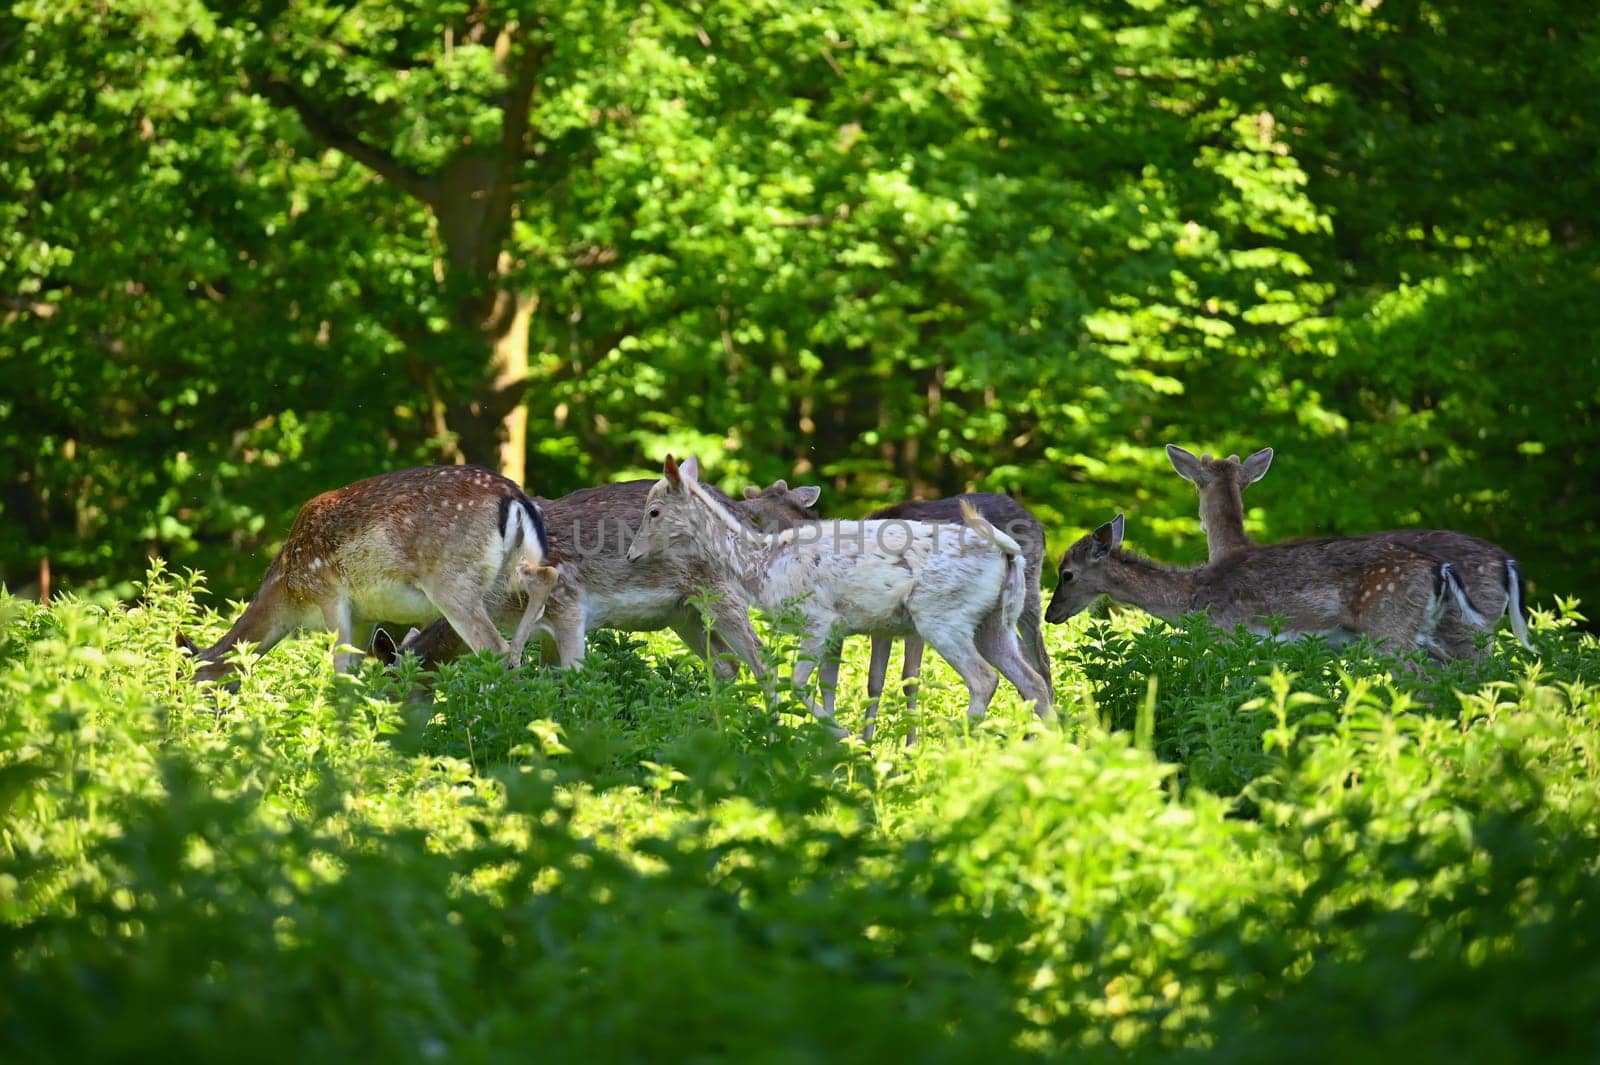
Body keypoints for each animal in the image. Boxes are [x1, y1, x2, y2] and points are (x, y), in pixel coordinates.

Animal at [176, 463, 556, 681]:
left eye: (186, 681)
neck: (289, 590)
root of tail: (516, 498)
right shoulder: (365, 615)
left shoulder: (329, 593)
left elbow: (341, 670)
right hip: (510, 571)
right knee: (544, 581)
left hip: (452, 581)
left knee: (493, 647)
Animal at [376, 473, 819, 671]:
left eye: (397, 687)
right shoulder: (544, 630)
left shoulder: (569, 605)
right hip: (684, 614)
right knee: (725, 663)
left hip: (722, 596)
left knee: (762, 659)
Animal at [624, 450, 1049, 735]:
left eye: (654, 511)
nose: (631, 554)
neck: (762, 567)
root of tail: (1007, 551)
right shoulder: (841, 630)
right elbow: (827, 685)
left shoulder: (820, 620)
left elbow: (795, 683)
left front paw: (840, 735)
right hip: (994, 622)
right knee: (1033, 682)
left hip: (942, 616)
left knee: (984, 679)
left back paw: (954, 746)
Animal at [1043, 508, 1478, 655]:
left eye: (1066, 574)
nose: (1050, 615)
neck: (1189, 600)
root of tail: (1439, 570)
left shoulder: (1226, 635)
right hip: (1423, 633)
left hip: (1389, 630)